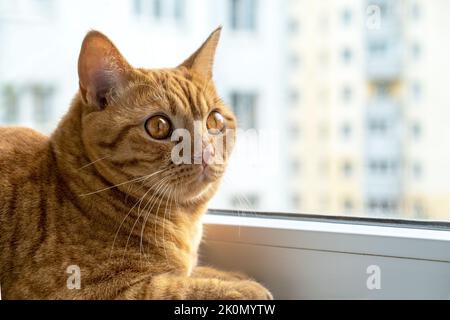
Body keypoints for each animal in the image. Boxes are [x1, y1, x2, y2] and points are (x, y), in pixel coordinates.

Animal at [0, 28, 272, 300]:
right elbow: (182, 287)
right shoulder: (94, 288)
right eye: (158, 126)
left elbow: (198, 273)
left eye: (215, 121)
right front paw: (248, 288)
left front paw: (235, 276)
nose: (205, 153)